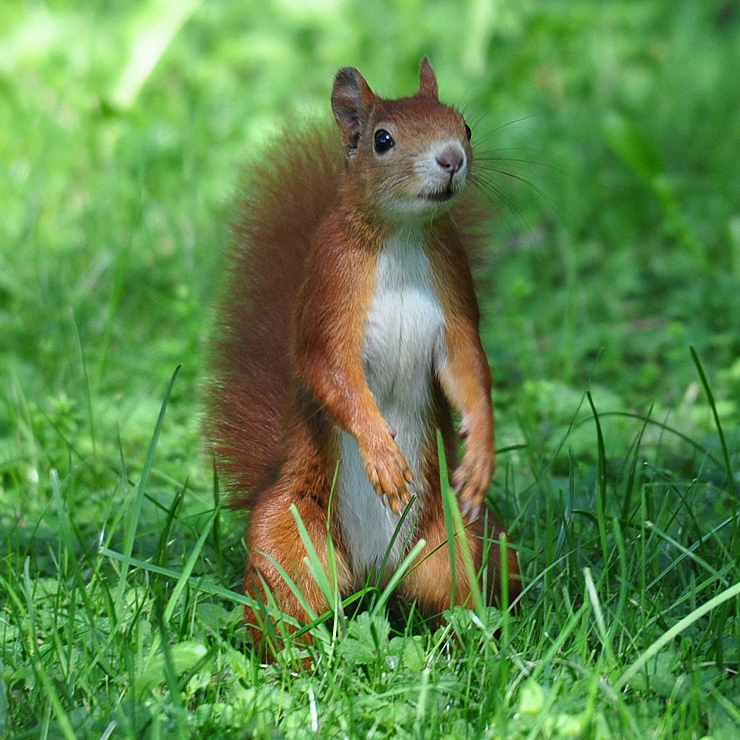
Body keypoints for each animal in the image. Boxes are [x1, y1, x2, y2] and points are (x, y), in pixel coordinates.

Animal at [208, 59, 520, 652]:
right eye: (382, 140)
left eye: (465, 127)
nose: (452, 158)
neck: (401, 235)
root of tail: (376, 576)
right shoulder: (330, 290)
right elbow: (330, 373)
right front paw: (381, 453)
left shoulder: (453, 296)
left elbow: (468, 369)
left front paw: (482, 451)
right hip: (290, 541)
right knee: (289, 614)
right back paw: (299, 662)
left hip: (464, 538)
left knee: (466, 598)